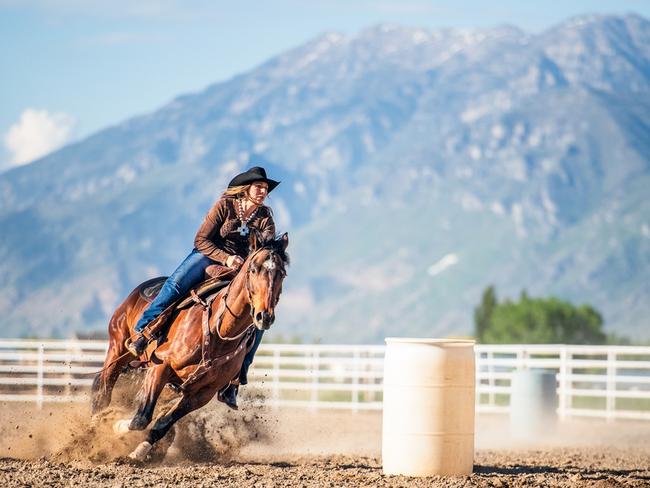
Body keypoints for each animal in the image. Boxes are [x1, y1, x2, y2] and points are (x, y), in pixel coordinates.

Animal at [90, 233, 288, 462]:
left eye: (281, 273)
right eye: (254, 269)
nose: (264, 316)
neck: (218, 331)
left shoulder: (201, 394)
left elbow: (162, 424)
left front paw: (139, 453)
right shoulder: (160, 367)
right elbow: (141, 418)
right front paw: (113, 425)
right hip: (118, 347)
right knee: (104, 386)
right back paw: (94, 426)